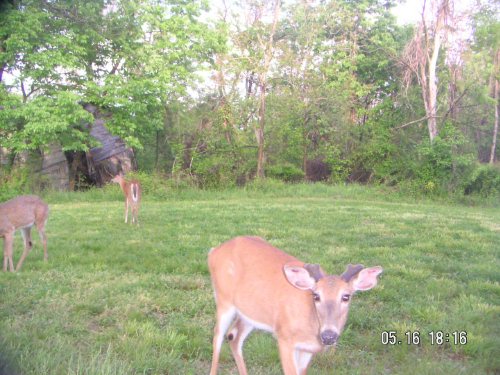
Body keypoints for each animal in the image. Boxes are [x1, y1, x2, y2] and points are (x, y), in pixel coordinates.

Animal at [207, 236, 382, 374]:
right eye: (316, 295)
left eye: (346, 296)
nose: (328, 336)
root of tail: (213, 251)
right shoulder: (284, 337)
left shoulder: (306, 349)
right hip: (223, 299)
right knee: (217, 337)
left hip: (250, 311)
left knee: (233, 336)